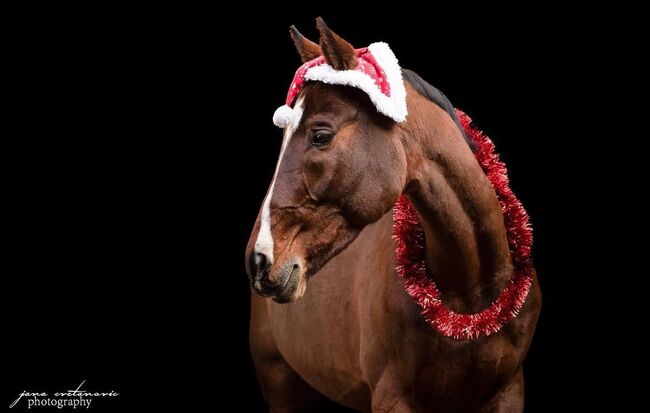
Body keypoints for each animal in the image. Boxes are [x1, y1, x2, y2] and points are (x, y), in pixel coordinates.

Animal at [243, 18, 536, 412]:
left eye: (320, 136)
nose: (259, 259)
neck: (472, 290)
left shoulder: (509, 391)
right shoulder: (392, 397)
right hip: (279, 381)